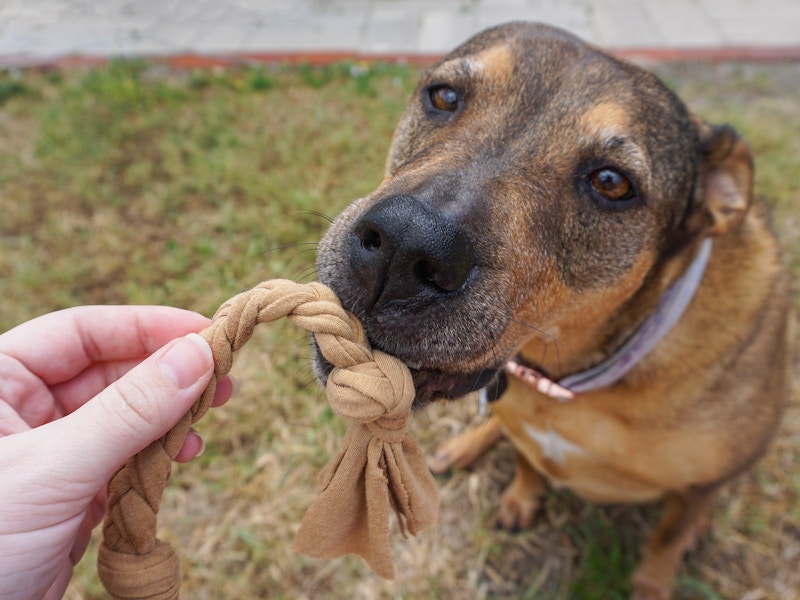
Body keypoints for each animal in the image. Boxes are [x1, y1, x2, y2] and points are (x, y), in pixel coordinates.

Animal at [312, 22, 792, 600]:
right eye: (444, 96)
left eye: (612, 183)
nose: (403, 246)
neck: (565, 374)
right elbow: (526, 458)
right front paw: (522, 496)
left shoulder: (703, 482)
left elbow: (666, 538)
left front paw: (654, 580)